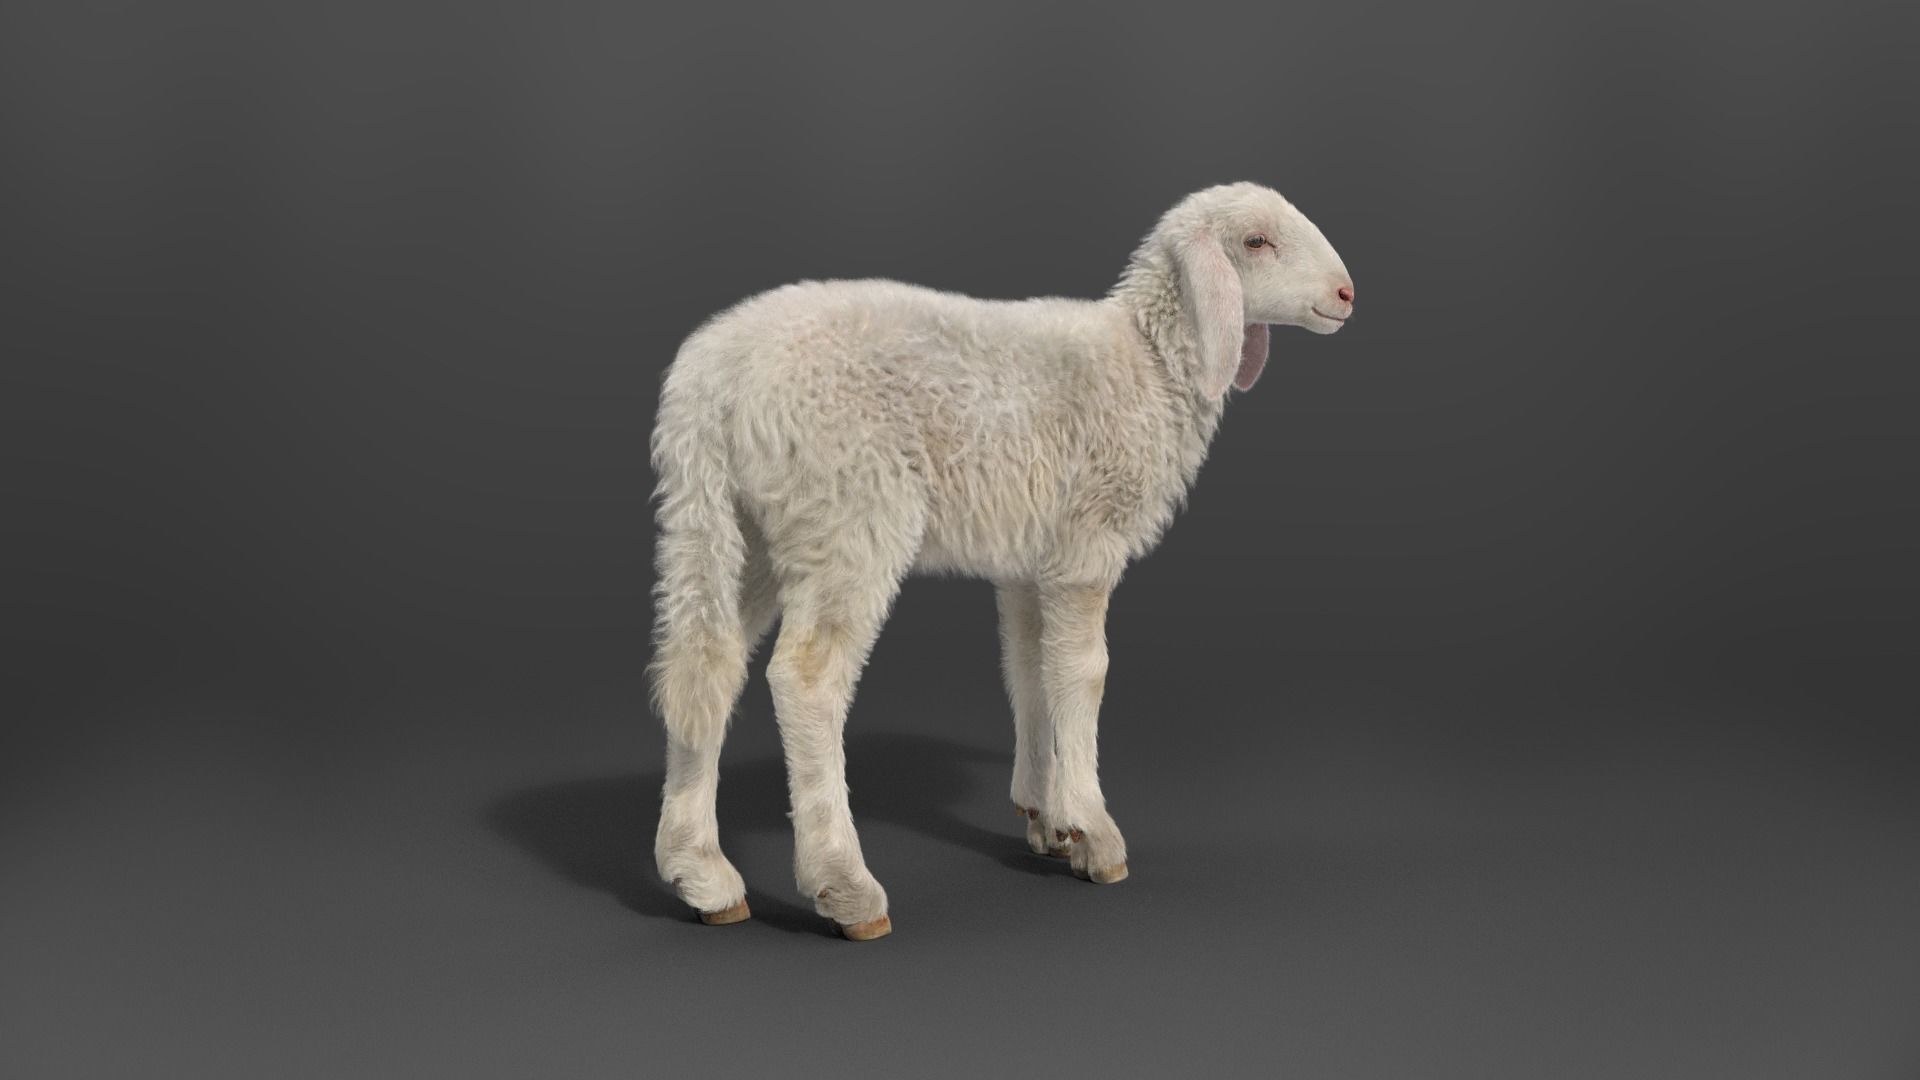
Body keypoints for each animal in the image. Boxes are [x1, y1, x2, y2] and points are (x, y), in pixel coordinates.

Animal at [648, 181, 1355, 940]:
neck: (1148, 358)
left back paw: (702, 876)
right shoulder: (1086, 538)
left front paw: (1046, 815)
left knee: (704, 670)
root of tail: (708, 382)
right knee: (806, 681)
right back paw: (845, 887)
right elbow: (1083, 674)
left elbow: (1029, 669)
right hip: (846, 513)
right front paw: (1093, 829)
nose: (1347, 293)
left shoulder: (1028, 554)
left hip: (736, 525)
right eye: (1256, 242)